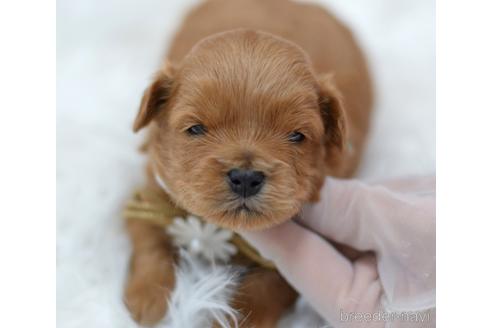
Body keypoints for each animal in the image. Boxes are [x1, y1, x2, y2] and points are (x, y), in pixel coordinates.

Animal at [124, 0, 372, 326]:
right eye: (196, 129)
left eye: (296, 135)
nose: (245, 178)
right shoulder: (151, 186)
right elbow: (148, 231)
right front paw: (150, 296)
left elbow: (268, 288)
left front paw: (235, 318)